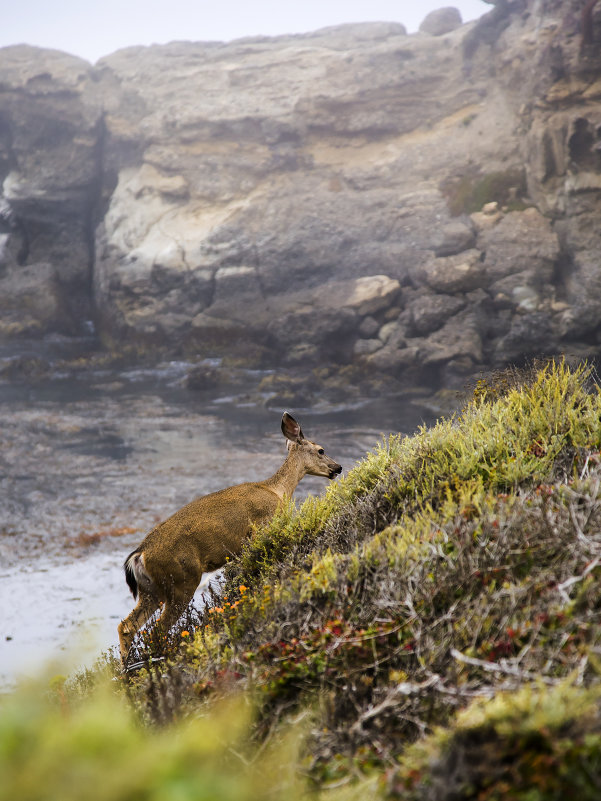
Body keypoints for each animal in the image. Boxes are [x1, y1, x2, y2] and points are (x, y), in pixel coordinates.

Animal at [118, 410, 342, 664]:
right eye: (321, 450)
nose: (338, 467)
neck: (278, 491)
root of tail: (140, 554)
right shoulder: (261, 528)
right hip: (181, 579)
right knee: (157, 629)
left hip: (151, 589)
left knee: (127, 626)